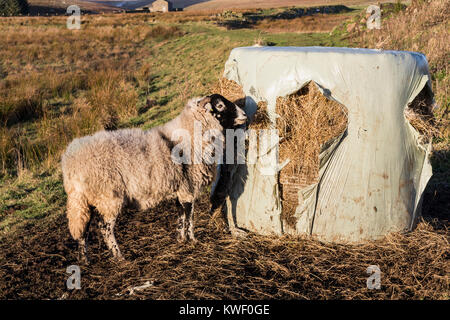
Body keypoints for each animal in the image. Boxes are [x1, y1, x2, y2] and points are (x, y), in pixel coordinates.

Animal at [60, 94, 246, 262]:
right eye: (220, 105)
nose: (244, 114)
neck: (193, 134)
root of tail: (70, 162)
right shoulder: (189, 188)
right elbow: (189, 215)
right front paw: (193, 239)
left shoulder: (180, 188)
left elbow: (180, 215)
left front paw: (181, 239)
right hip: (108, 197)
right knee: (105, 228)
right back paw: (119, 257)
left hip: (84, 201)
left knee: (82, 229)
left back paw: (84, 260)